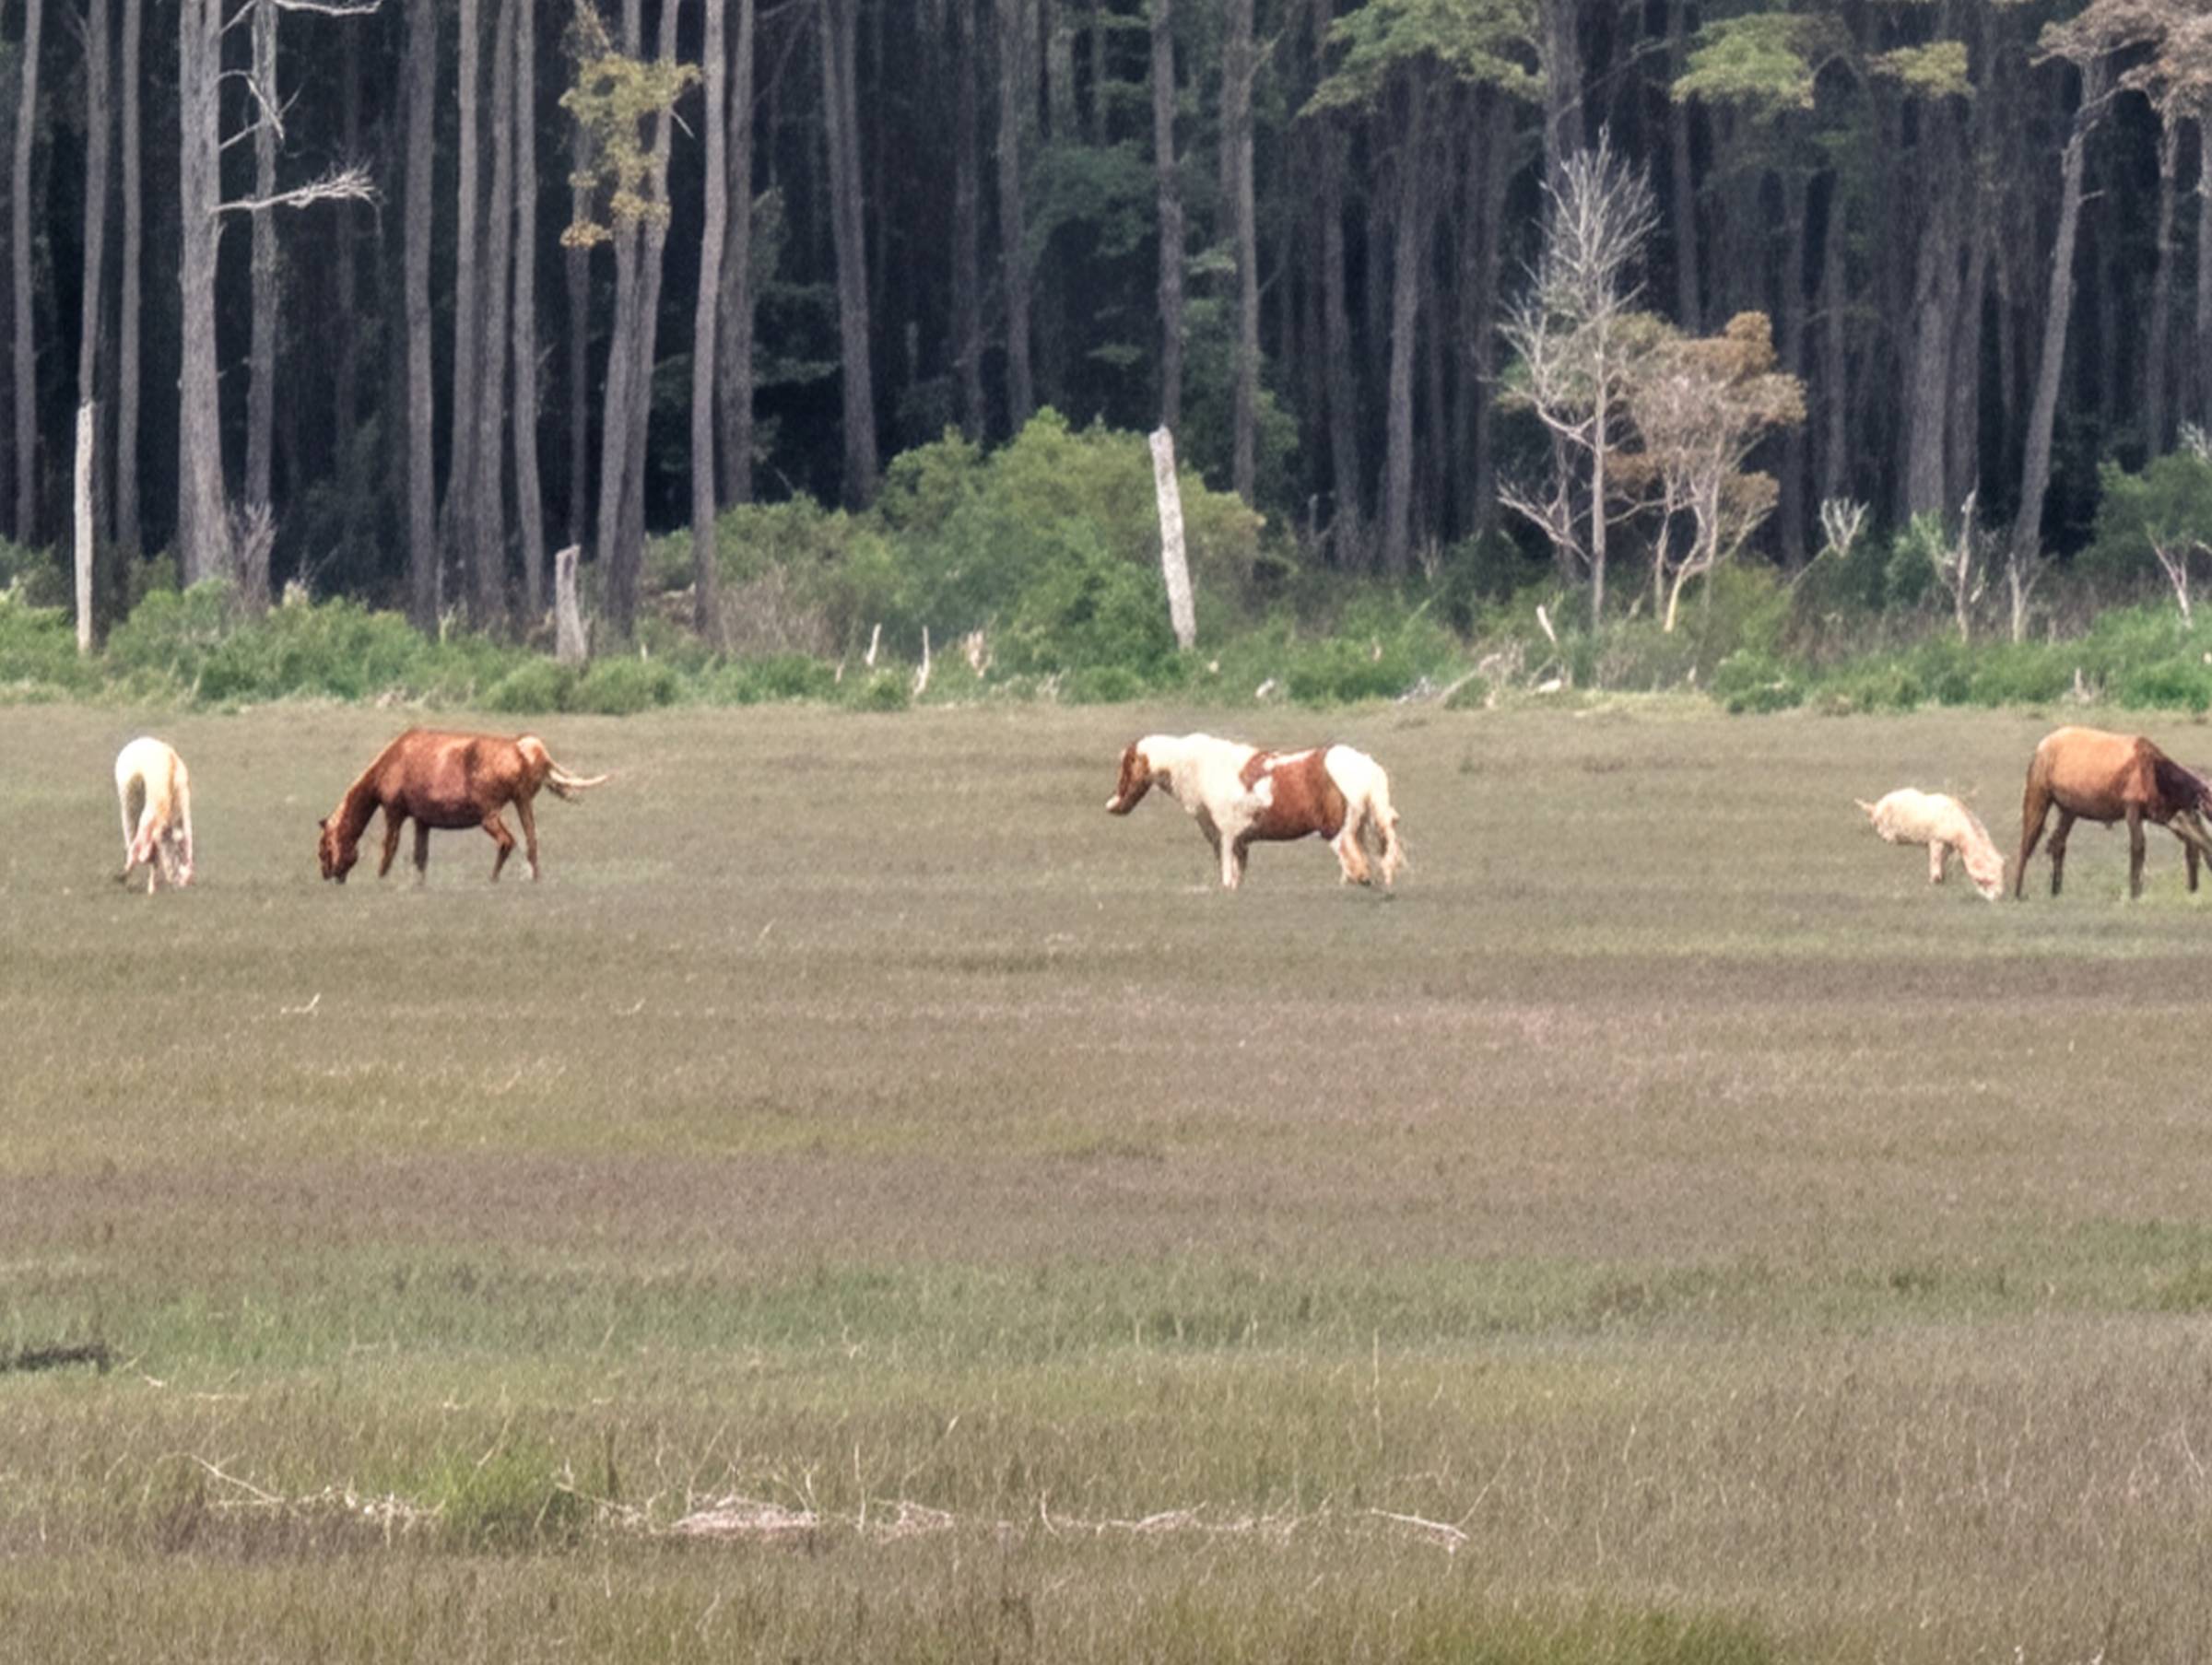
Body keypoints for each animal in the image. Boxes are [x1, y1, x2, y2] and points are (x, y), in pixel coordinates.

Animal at [114, 736, 194, 894]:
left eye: (180, 850)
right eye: (175, 850)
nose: (179, 881)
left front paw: (151, 888)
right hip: (129, 804)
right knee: (130, 838)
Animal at [318, 728, 606, 884]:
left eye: (323, 846)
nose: (329, 875)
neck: (382, 772)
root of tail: (531, 752)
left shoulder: (394, 810)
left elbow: (388, 851)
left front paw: (381, 880)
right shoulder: (422, 820)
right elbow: (421, 858)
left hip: (489, 813)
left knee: (508, 841)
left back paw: (493, 880)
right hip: (522, 801)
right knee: (531, 842)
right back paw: (535, 880)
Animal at [1104, 732, 1404, 891]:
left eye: (1126, 764)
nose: (1114, 806)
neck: (1197, 767)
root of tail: (1368, 767)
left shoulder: (1225, 835)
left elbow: (1227, 875)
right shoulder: (1239, 841)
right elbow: (1237, 876)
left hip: (1338, 832)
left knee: (1356, 866)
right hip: (1358, 829)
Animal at [1856, 788, 2004, 902]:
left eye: (2001, 872)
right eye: (1988, 879)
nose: (1999, 896)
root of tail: (1875, 806)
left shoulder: (1949, 845)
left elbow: (1943, 859)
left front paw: (1942, 877)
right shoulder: (1936, 839)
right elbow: (1935, 858)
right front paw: (1935, 880)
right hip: (1884, 825)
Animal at [2013, 725, 2212, 899]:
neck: (2159, 779)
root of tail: (2041, 746)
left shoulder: (2164, 815)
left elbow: (2193, 846)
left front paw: (2192, 888)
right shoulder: (2132, 808)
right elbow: (2138, 848)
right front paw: (2135, 893)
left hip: (2069, 811)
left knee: (2057, 843)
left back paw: (2056, 890)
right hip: (2038, 795)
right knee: (2026, 843)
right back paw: (2018, 893)